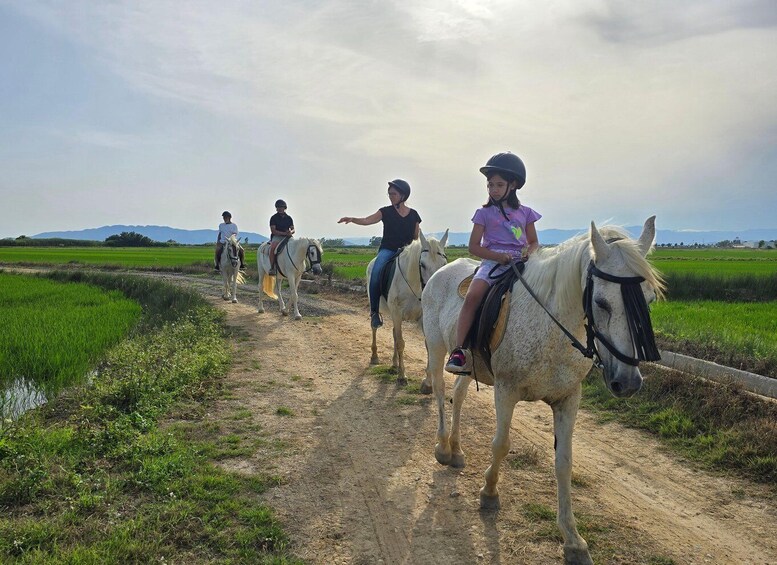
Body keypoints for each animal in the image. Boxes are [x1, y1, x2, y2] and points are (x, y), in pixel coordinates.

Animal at [368, 229, 448, 384]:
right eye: (422, 264)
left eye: (444, 264)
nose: (434, 291)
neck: (414, 284)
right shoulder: (397, 313)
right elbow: (400, 343)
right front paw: (402, 375)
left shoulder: (423, 316)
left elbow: (427, 344)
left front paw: (428, 381)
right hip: (377, 308)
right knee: (374, 327)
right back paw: (375, 356)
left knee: (393, 333)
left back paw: (394, 364)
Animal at [422, 217, 664, 564]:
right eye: (601, 303)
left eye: (648, 300)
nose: (628, 382)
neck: (552, 327)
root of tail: (442, 271)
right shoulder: (506, 390)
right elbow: (501, 445)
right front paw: (489, 492)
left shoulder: (568, 399)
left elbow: (564, 463)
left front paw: (574, 540)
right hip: (436, 346)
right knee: (442, 392)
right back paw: (443, 447)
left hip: (469, 364)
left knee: (459, 395)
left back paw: (456, 450)